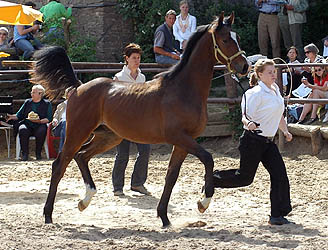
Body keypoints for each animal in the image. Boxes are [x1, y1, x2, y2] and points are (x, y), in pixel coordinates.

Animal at [32, 11, 249, 228]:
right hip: (77, 132)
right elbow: (208, 159)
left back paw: (85, 201)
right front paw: (203, 202)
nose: (244, 66)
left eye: (237, 37)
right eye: (225, 39)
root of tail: (78, 87)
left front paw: (164, 217)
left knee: (82, 156)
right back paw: (48, 215)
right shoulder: (179, 137)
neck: (183, 90)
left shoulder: (182, 143)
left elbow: (171, 176)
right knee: (60, 165)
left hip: (109, 137)